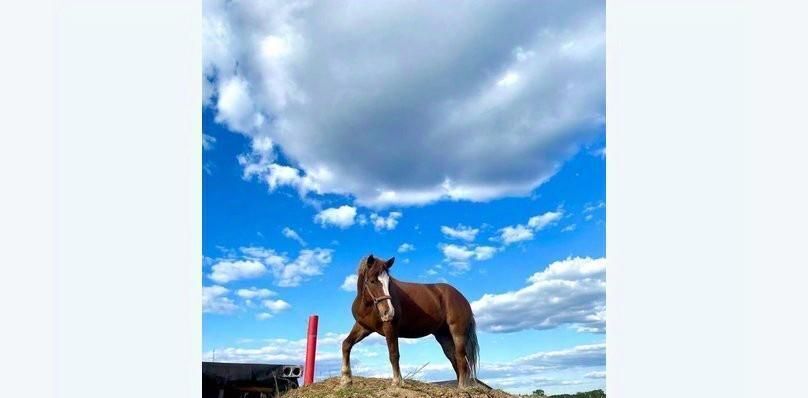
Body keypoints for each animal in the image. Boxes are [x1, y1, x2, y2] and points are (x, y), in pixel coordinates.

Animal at [338, 255, 476, 388]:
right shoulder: (363, 327)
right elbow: (346, 344)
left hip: (458, 332)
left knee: (461, 358)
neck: (367, 306)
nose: (389, 312)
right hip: (443, 335)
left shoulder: (390, 328)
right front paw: (346, 380)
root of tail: (461, 298)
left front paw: (397, 381)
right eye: (372, 281)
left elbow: (394, 354)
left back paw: (462, 386)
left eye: (389, 282)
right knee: (454, 358)